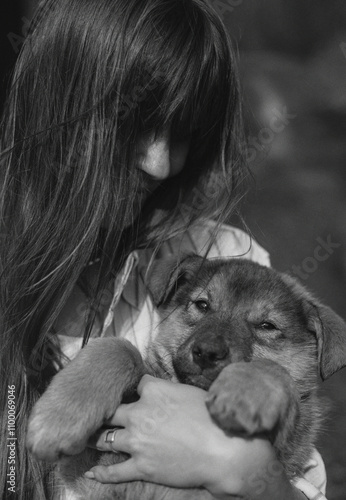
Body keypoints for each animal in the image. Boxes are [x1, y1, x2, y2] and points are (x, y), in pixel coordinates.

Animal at [26, 256, 346, 498]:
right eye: (202, 305)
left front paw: (244, 393)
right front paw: (59, 421)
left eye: (267, 326)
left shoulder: (283, 449)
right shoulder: (86, 471)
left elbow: (275, 369)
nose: (206, 352)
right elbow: (118, 347)